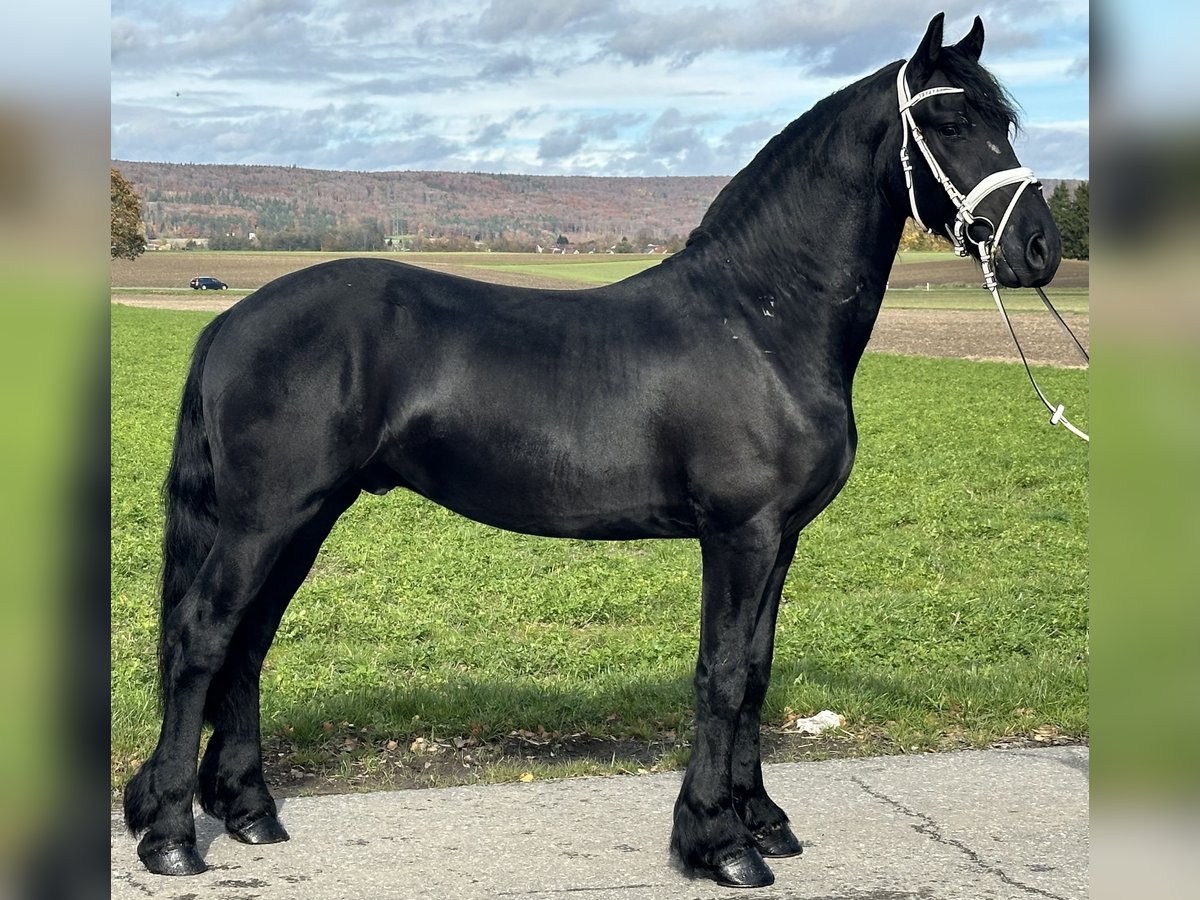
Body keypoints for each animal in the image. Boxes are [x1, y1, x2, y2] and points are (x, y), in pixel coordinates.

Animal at [123, 12, 1061, 888]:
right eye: (948, 121)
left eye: (1006, 120)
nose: (1039, 248)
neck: (762, 318)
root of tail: (230, 318)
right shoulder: (741, 534)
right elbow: (722, 674)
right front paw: (718, 844)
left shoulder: (781, 539)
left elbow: (757, 672)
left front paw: (763, 822)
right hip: (267, 519)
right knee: (206, 635)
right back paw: (170, 836)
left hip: (307, 516)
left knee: (248, 642)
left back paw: (248, 811)